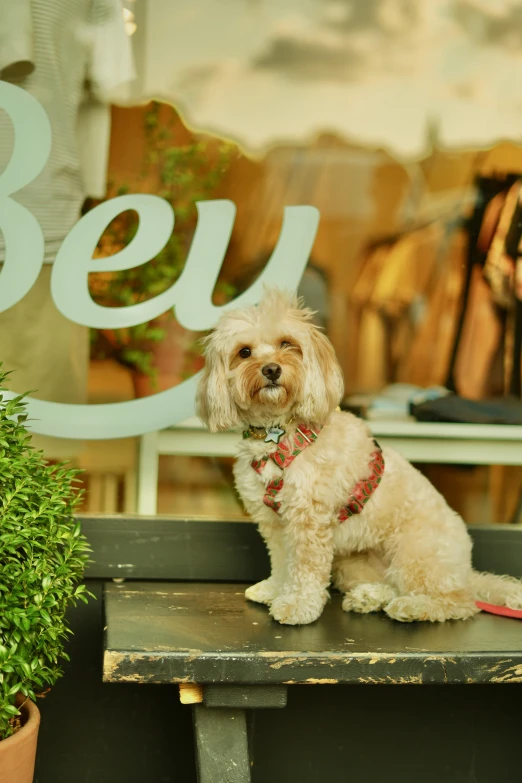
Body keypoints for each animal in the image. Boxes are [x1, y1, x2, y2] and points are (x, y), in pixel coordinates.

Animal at [196, 288, 520, 624]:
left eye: (287, 344)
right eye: (244, 352)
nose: (271, 369)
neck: (279, 435)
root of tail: (466, 571)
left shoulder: (308, 520)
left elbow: (304, 568)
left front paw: (297, 604)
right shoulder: (273, 522)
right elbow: (282, 560)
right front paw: (275, 588)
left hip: (413, 553)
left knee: (458, 602)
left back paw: (412, 607)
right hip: (353, 563)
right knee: (392, 584)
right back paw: (369, 597)